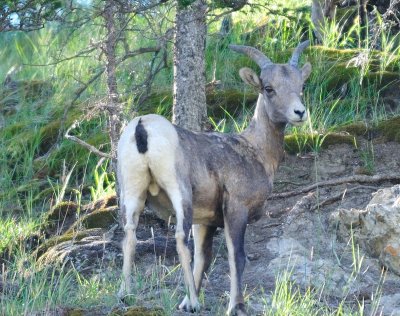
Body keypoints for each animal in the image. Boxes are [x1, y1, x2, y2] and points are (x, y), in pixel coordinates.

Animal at [117, 40, 310, 314]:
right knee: (179, 238)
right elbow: (236, 256)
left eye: (301, 86)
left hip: (133, 193)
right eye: (269, 88)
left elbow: (203, 258)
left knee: (129, 235)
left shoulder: (205, 222)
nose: (299, 112)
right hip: (180, 194)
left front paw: (185, 303)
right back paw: (196, 303)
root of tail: (142, 127)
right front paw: (234, 305)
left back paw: (126, 295)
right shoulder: (236, 209)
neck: (255, 151)